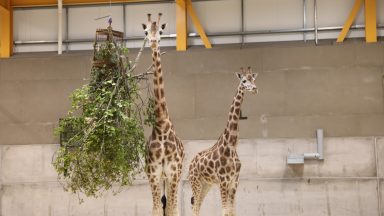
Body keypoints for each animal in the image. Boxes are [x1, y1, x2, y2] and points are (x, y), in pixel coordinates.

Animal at [187, 67, 258, 216]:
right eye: (244, 80)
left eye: (254, 79)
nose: (255, 89)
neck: (231, 144)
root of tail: (190, 163)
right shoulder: (223, 181)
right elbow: (224, 211)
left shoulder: (235, 181)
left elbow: (231, 211)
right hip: (196, 182)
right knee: (194, 208)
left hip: (206, 184)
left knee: (197, 206)